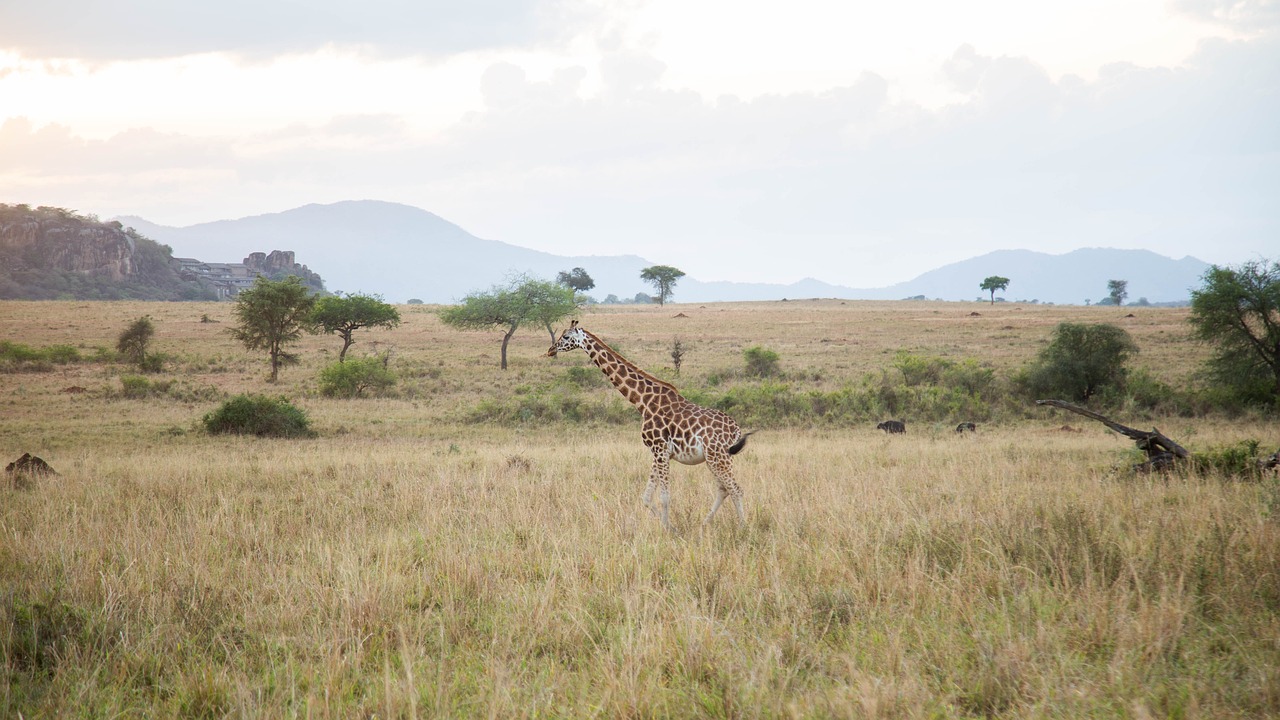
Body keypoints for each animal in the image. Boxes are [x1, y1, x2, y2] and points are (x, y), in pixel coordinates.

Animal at [547, 319, 747, 527]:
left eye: (566, 336)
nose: (551, 350)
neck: (642, 402)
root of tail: (736, 429)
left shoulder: (660, 450)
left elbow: (664, 496)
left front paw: (667, 528)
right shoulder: (659, 453)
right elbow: (646, 497)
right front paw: (668, 526)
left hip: (718, 457)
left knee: (736, 489)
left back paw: (743, 527)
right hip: (714, 458)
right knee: (724, 489)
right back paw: (704, 524)